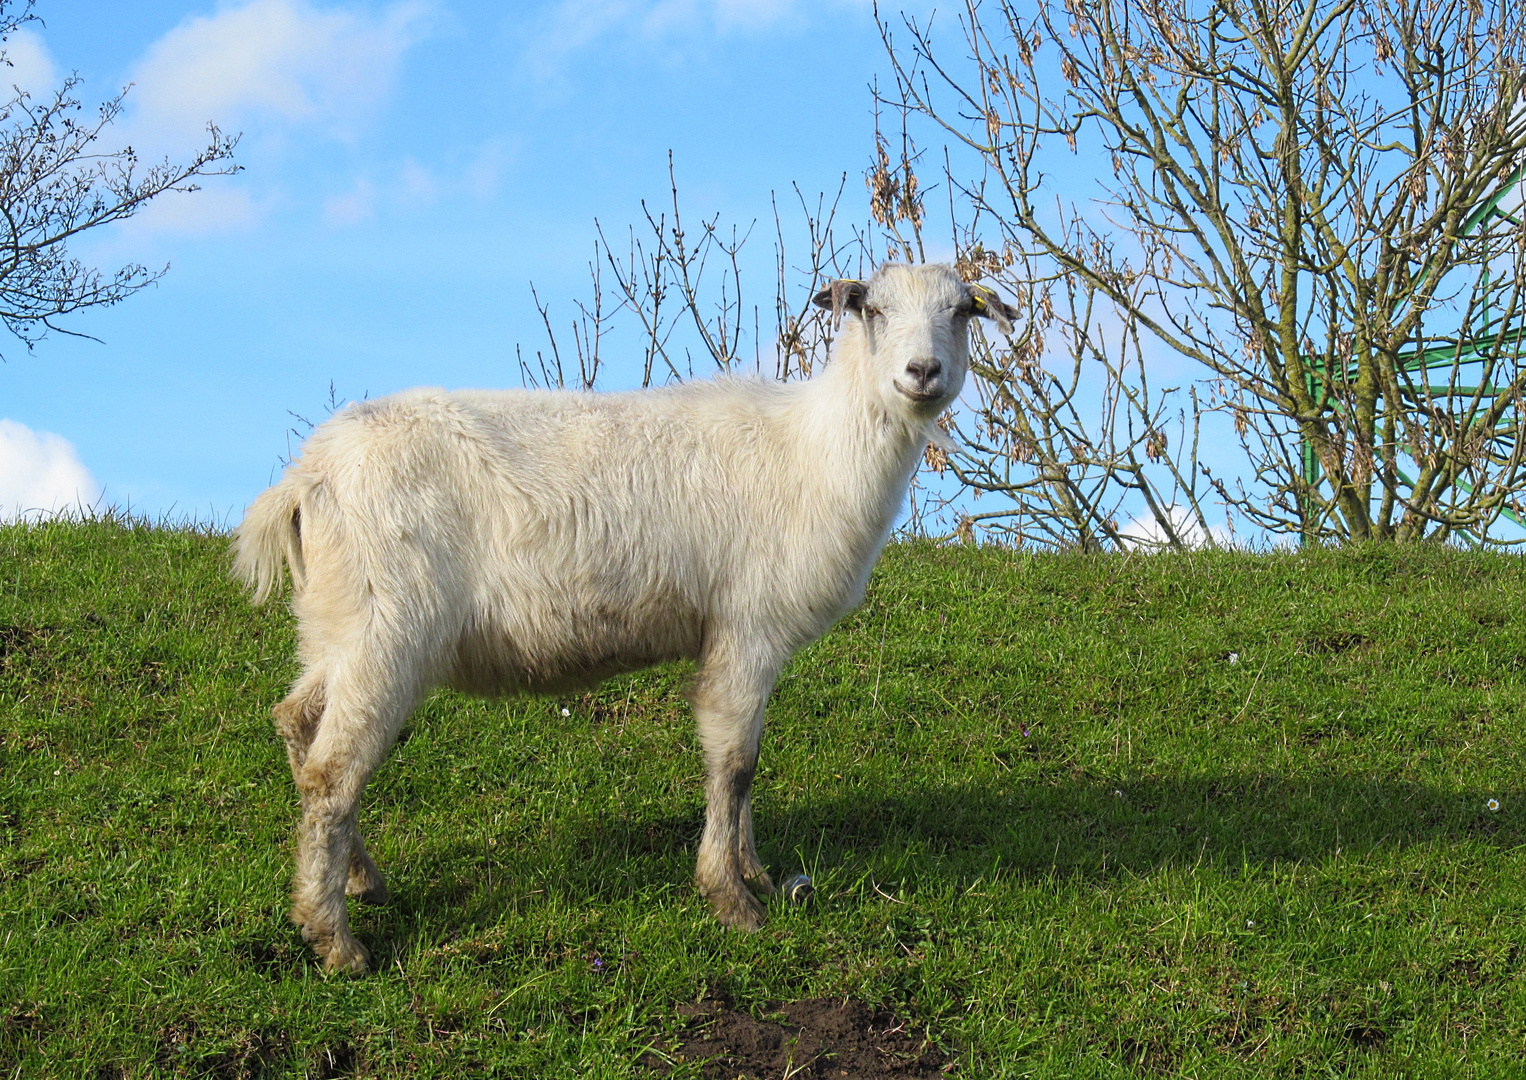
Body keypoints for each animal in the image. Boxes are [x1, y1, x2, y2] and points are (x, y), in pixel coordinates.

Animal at [235, 260, 1013, 970]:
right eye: (872, 309)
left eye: (962, 311)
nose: (923, 371)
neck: (813, 451)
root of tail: (308, 478)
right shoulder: (747, 625)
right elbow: (735, 762)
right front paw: (732, 900)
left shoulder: (735, 635)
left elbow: (745, 765)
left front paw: (755, 873)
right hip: (388, 625)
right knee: (333, 773)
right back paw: (334, 940)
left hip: (337, 621)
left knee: (297, 722)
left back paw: (360, 881)